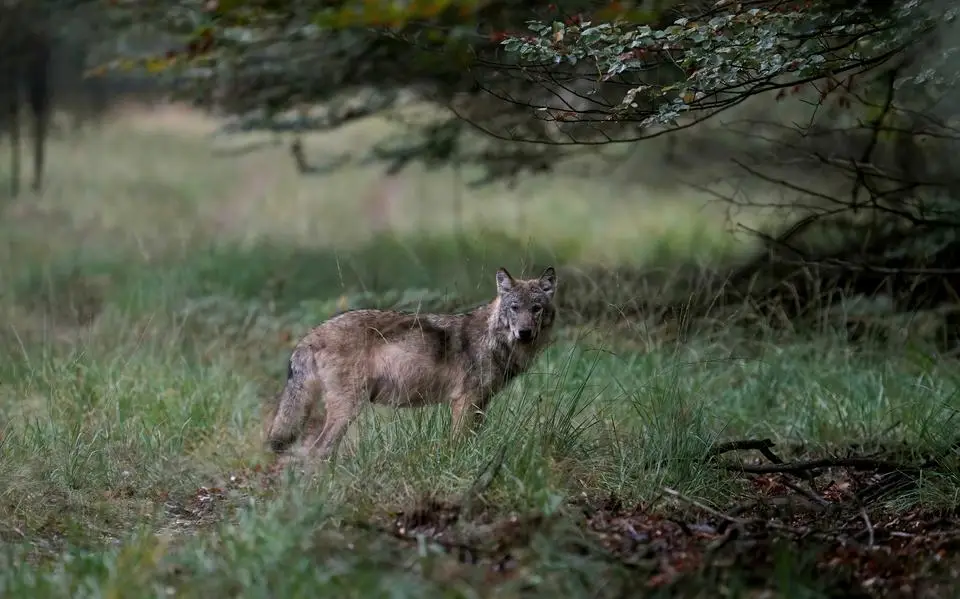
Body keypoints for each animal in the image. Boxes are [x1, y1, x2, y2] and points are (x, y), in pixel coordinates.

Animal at [264, 266, 558, 461]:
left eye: (536, 308)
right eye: (514, 308)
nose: (524, 333)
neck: (493, 340)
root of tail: (311, 334)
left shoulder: (480, 403)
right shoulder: (464, 401)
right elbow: (458, 443)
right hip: (348, 408)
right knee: (317, 450)